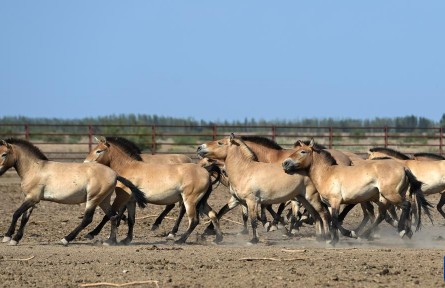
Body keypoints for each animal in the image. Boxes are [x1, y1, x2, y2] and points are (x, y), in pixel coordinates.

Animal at [0, 139, 147, 245]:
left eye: (4, 154)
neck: (35, 169)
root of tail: (115, 174)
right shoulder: (31, 199)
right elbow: (24, 218)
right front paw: (16, 239)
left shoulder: (32, 198)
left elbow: (16, 213)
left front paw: (7, 237)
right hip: (103, 200)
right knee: (113, 216)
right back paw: (110, 241)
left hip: (93, 199)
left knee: (87, 219)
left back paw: (66, 239)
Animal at [82, 136, 221, 244]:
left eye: (99, 151)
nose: (85, 163)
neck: (128, 167)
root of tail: (205, 171)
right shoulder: (130, 200)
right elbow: (131, 220)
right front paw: (126, 240)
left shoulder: (121, 197)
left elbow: (110, 215)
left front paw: (94, 235)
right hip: (201, 201)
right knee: (213, 214)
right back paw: (218, 239)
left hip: (190, 200)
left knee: (193, 220)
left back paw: (179, 239)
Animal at [196, 134, 328, 244]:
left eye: (220, 143)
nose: (199, 147)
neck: (245, 170)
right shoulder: (238, 200)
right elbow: (224, 211)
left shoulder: (252, 201)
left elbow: (254, 220)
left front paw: (254, 239)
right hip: (303, 199)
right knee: (315, 215)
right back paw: (318, 237)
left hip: (311, 198)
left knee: (323, 213)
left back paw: (325, 237)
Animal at [282, 140, 432, 245]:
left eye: (303, 151)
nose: (285, 164)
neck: (327, 173)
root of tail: (403, 167)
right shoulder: (330, 204)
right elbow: (332, 220)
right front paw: (337, 238)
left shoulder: (336, 201)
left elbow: (335, 220)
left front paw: (342, 237)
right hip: (385, 197)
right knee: (385, 214)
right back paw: (403, 232)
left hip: (391, 195)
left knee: (405, 206)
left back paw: (399, 231)